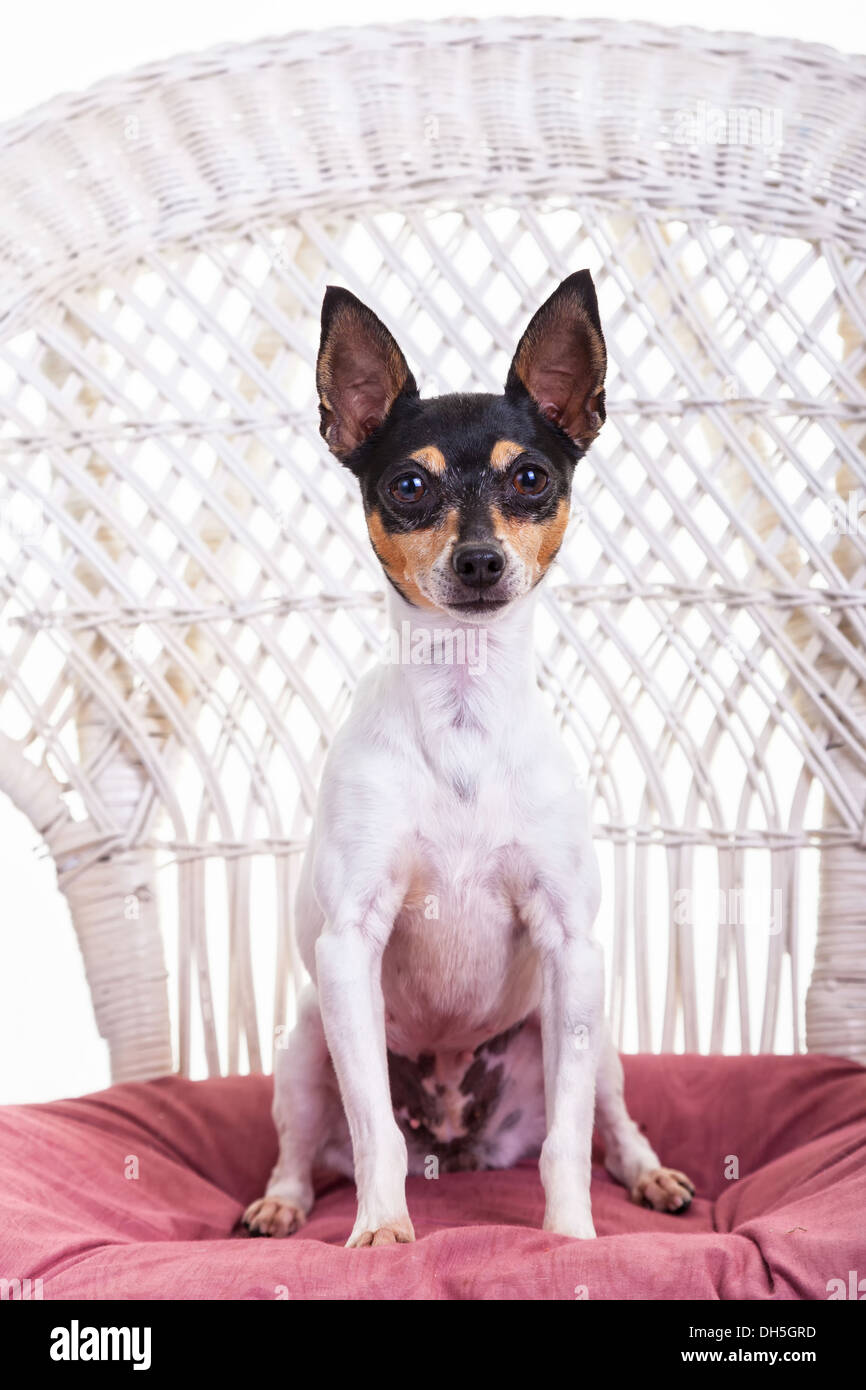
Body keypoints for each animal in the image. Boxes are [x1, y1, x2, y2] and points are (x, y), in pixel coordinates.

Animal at [244, 273, 697, 1251]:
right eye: (409, 485)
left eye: (531, 478)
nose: (480, 560)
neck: (461, 714)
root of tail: (456, 1148)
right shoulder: (349, 948)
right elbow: (371, 1127)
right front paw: (380, 1229)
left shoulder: (571, 947)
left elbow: (569, 1139)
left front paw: (569, 1235)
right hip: (304, 1045)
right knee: (303, 1144)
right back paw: (283, 1202)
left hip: (595, 1033)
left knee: (614, 1125)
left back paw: (652, 1177)